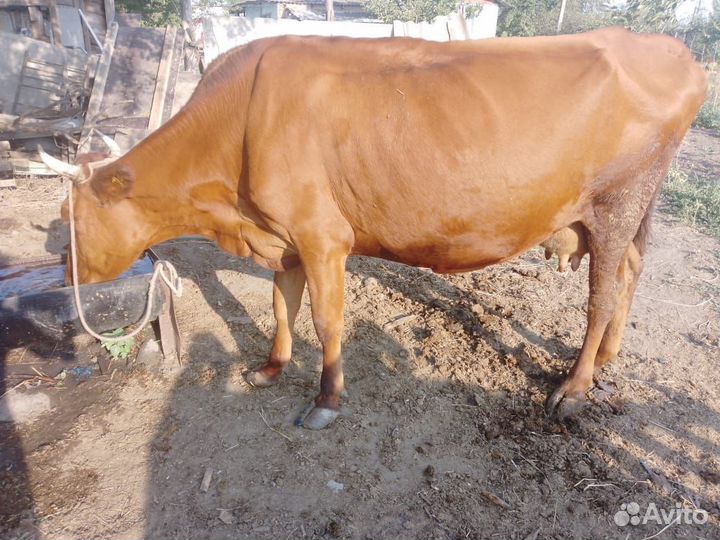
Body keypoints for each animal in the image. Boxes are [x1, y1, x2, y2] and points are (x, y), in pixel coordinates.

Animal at [40, 27, 707, 429]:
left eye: (70, 221)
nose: (63, 273)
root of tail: (670, 51)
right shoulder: (282, 236)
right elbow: (281, 305)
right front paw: (270, 368)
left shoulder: (321, 236)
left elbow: (326, 319)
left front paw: (326, 399)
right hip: (631, 210)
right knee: (632, 271)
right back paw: (608, 358)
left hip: (617, 204)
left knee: (602, 295)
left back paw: (575, 387)